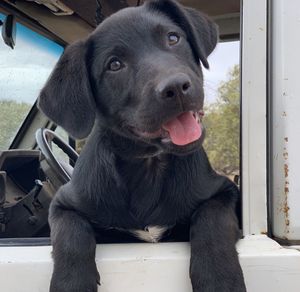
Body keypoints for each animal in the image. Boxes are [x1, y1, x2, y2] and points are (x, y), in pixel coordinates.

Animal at [38, 0, 246, 292]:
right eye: (114, 65)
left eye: (173, 38)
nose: (176, 87)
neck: (149, 165)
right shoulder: (63, 204)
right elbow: (70, 234)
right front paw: (71, 283)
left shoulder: (223, 190)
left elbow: (212, 220)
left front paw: (220, 278)